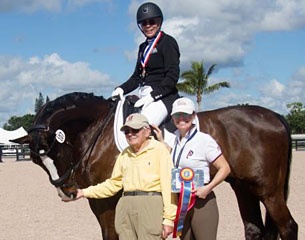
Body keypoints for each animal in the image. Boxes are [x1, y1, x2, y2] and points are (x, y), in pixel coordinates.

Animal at [13, 92, 296, 240]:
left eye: (56, 150)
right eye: (37, 160)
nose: (67, 193)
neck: (97, 130)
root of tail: (274, 116)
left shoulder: (108, 199)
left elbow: (111, 233)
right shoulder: (99, 198)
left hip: (268, 191)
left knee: (288, 227)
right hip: (244, 188)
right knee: (254, 229)